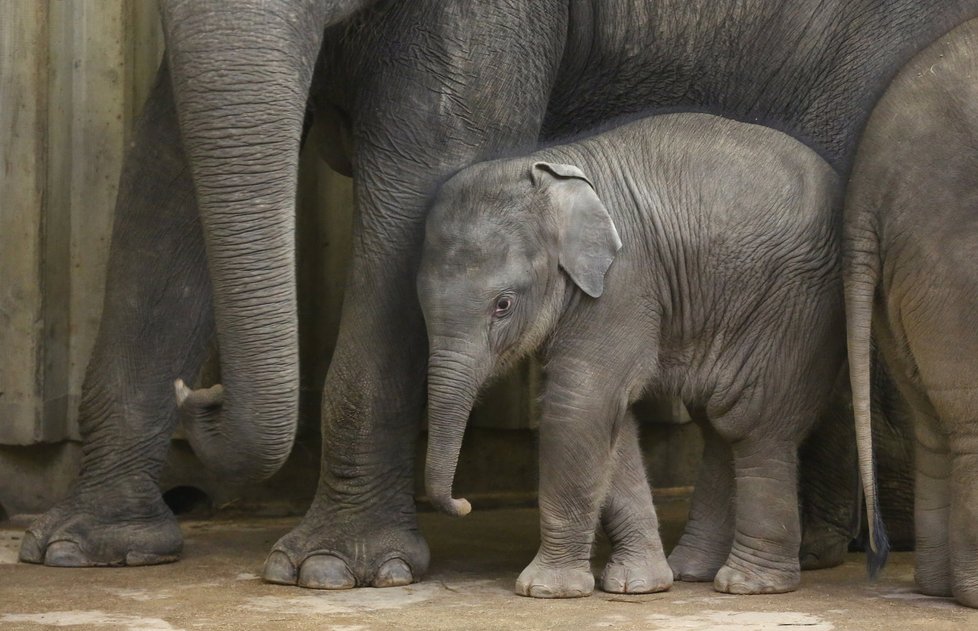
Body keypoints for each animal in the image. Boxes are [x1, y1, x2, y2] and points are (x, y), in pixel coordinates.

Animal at [420, 111, 848, 600]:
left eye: (503, 305)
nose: (465, 504)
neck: (552, 168)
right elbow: (613, 420)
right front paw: (638, 586)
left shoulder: (624, 280)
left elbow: (581, 404)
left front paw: (547, 590)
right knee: (718, 424)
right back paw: (692, 571)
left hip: (798, 304)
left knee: (752, 424)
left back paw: (747, 584)